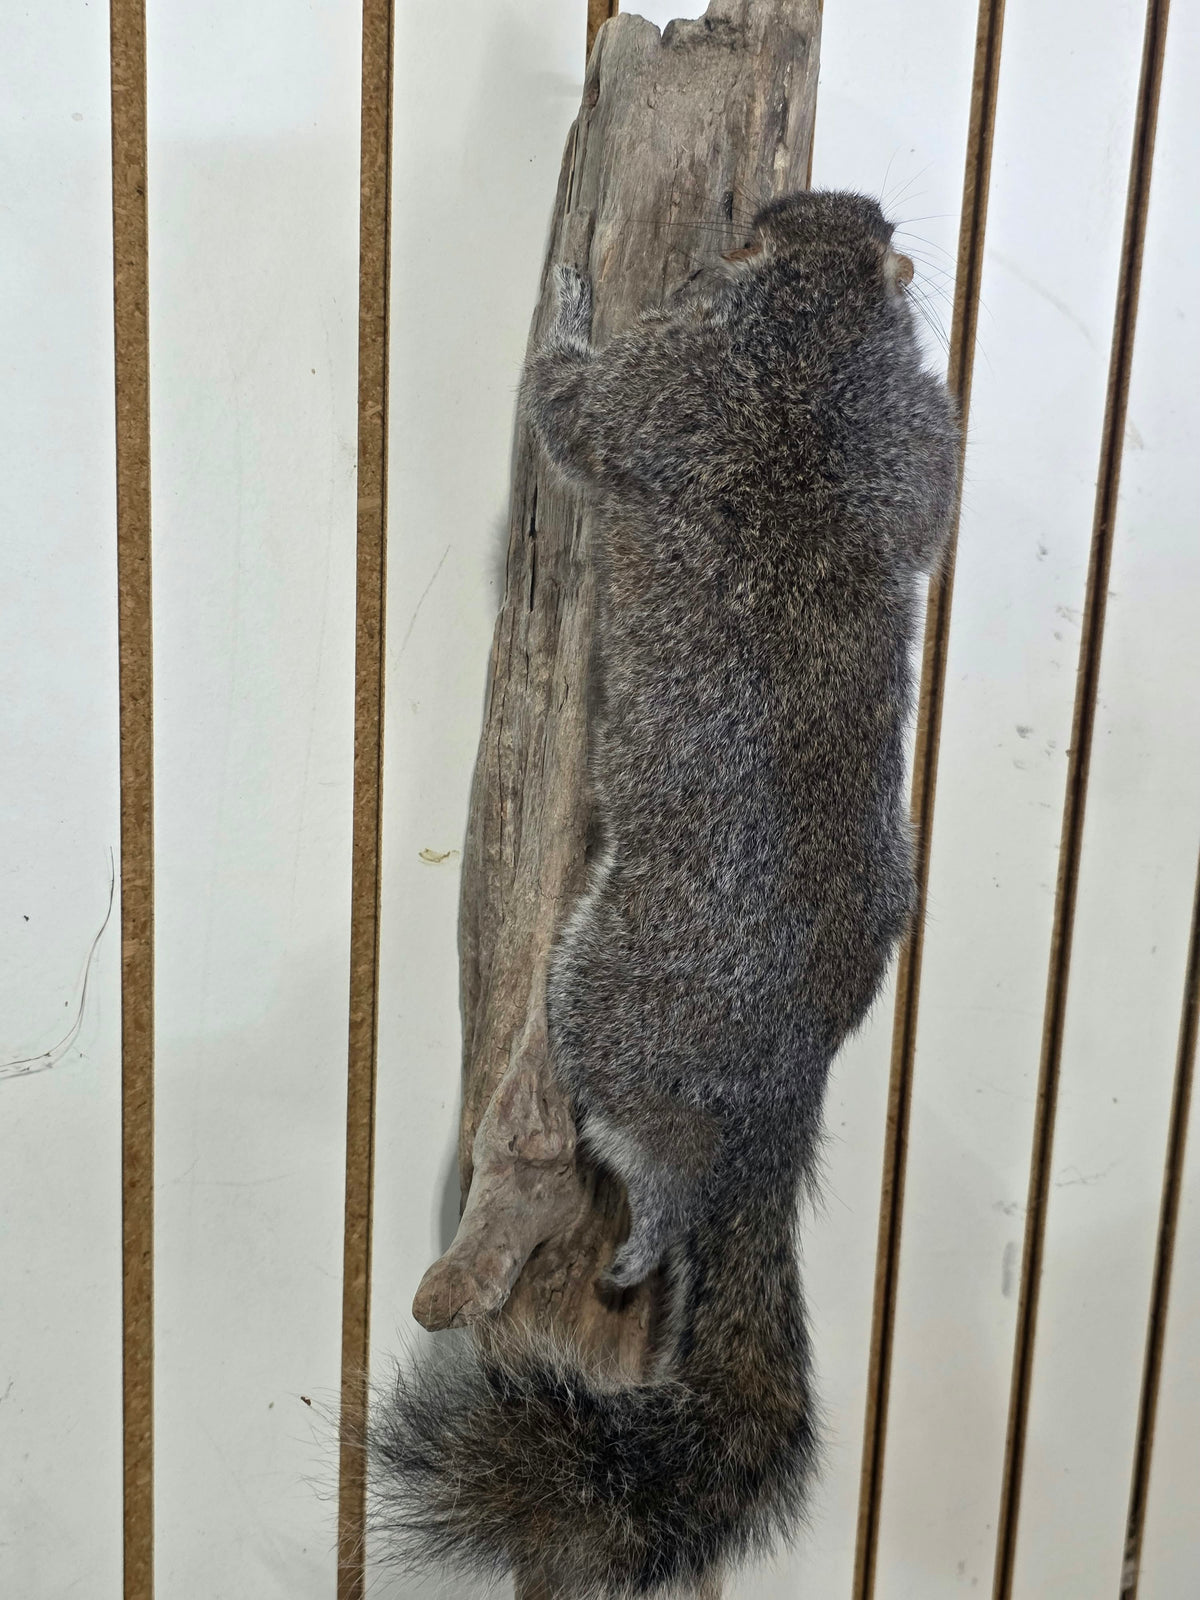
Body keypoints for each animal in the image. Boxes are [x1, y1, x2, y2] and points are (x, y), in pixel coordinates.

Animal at [370, 190, 960, 1598]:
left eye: (759, 218)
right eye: (851, 220)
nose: (854, 207)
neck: (819, 344)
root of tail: (771, 1115)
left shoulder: (669, 397)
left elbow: (571, 402)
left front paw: (570, 296)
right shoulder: (923, 437)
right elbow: (934, 511)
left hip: (615, 1006)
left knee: (654, 1163)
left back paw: (649, 1224)